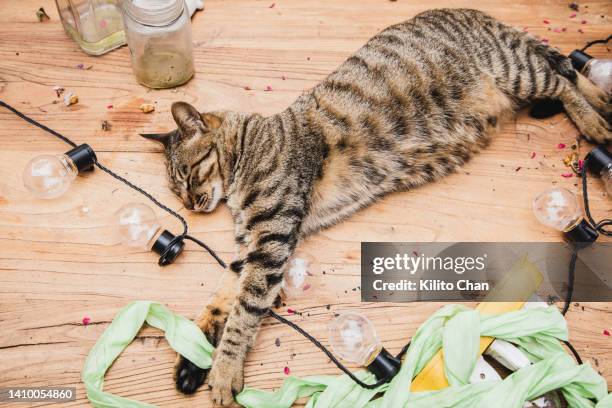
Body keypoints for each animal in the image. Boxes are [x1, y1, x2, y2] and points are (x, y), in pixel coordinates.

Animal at [142, 7, 608, 406]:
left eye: (187, 177)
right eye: (177, 192)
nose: (191, 204)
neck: (246, 155)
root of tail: (471, 12)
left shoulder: (270, 240)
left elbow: (243, 312)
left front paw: (223, 372)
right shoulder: (251, 246)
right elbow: (222, 299)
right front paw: (193, 359)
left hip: (516, 71)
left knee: (562, 76)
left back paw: (596, 117)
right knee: (565, 69)